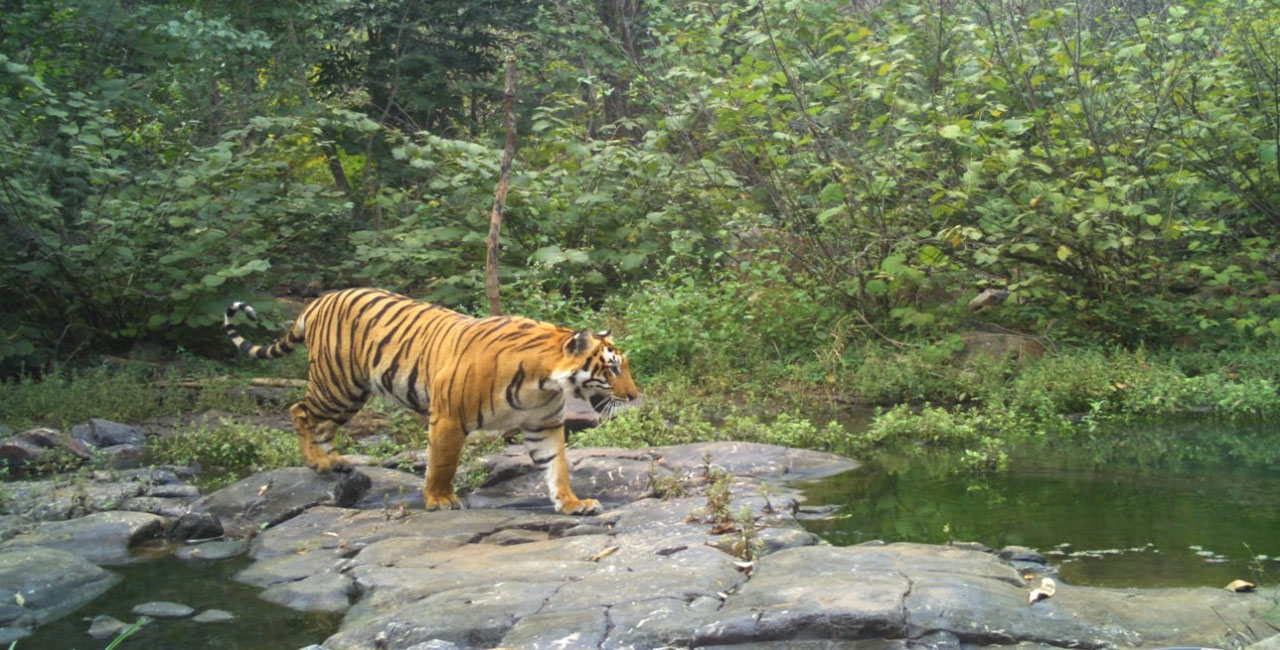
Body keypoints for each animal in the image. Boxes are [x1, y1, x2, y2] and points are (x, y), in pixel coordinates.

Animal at [222, 287, 639, 515]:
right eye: (613, 368)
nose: (635, 396)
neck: (544, 383)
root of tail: (319, 300)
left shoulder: (544, 425)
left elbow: (557, 468)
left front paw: (572, 504)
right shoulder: (449, 417)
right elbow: (442, 463)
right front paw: (439, 500)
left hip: (350, 393)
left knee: (323, 423)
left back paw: (334, 461)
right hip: (336, 384)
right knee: (300, 410)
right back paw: (316, 462)